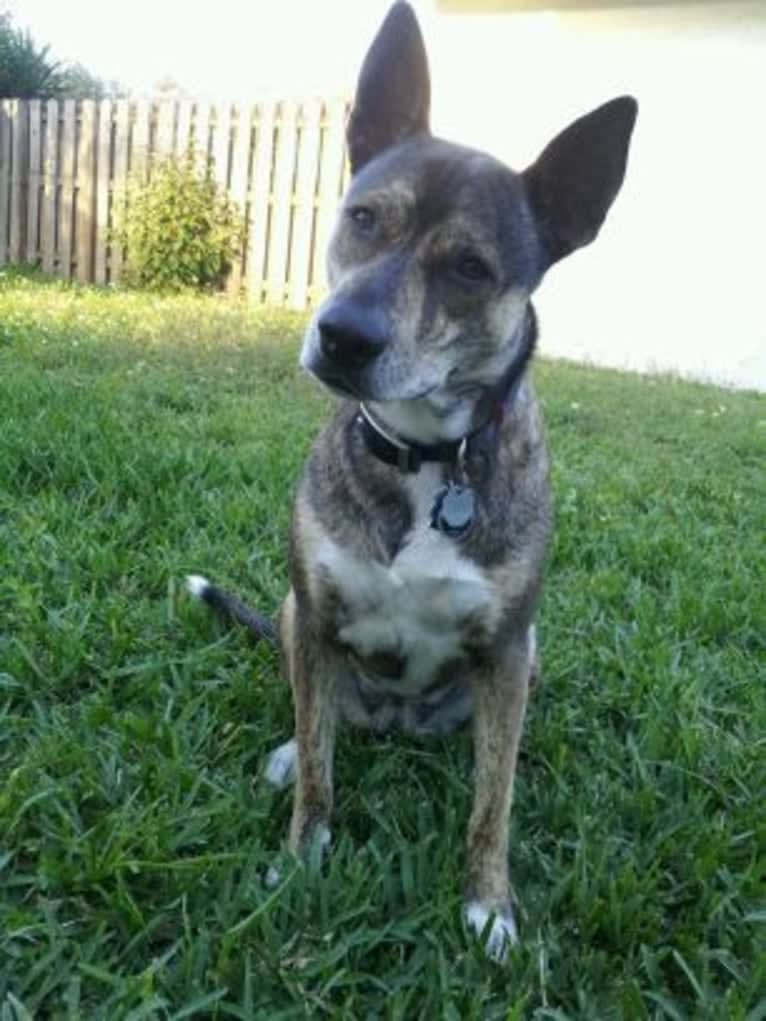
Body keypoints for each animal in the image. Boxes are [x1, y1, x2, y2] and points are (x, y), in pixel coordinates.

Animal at [188, 1, 637, 955]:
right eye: (364, 216)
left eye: (470, 266)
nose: (343, 336)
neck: (432, 460)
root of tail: (396, 724)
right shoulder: (316, 615)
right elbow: (321, 768)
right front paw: (303, 854)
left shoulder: (508, 648)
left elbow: (491, 804)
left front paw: (489, 904)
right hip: (294, 617)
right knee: (320, 714)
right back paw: (291, 748)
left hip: (528, 661)